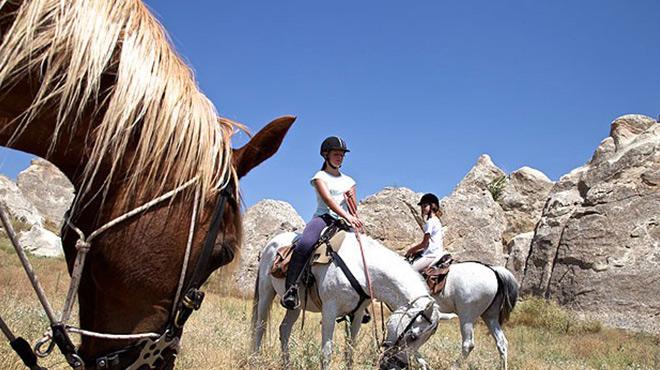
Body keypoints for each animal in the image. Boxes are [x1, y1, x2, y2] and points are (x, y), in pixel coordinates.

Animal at [250, 230, 456, 368]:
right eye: (413, 336)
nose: (396, 366)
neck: (361, 268)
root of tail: (272, 242)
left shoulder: (356, 315)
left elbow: (350, 350)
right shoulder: (330, 311)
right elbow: (327, 352)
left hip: (296, 305)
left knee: (284, 329)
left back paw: (287, 364)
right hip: (266, 292)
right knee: (260, 326)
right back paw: (255, 359)